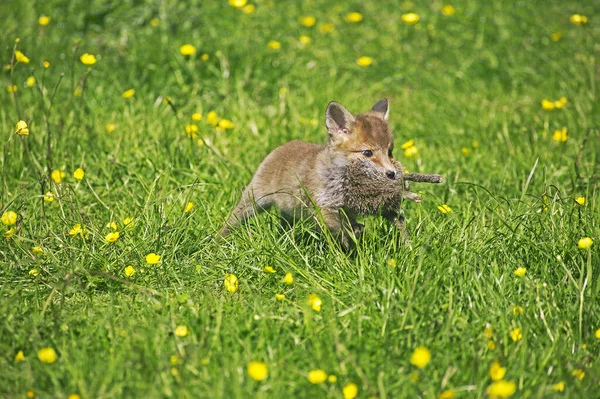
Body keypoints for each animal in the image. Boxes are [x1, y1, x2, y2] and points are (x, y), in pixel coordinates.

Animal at [220, 99, 440, 247]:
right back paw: (217, 240)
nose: (392, 174)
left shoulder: (363, 205)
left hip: (289, 212)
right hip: (254, 201)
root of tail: (283, 145)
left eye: (390, 152)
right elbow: (342, 227)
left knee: (284, 225)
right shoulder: (323, 207)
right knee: (233, 220)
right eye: (367, 153)